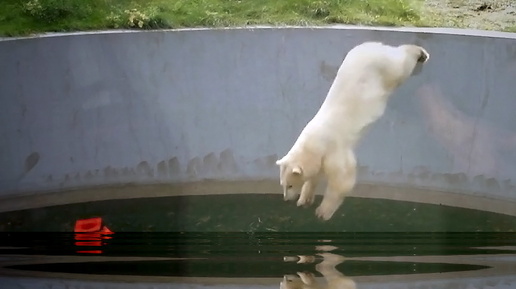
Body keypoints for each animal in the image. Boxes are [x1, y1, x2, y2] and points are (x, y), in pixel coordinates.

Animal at [276, 41, 430, 220]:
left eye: (290, 185)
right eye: (283, 184)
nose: (286, 199)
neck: (313, 143)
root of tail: (372, 45)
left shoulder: (333, 149)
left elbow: (342, 179)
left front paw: (322, 212)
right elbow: (316, 174)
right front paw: (305, 200)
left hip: (384, 68)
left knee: (401, 66)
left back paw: (420, 53)